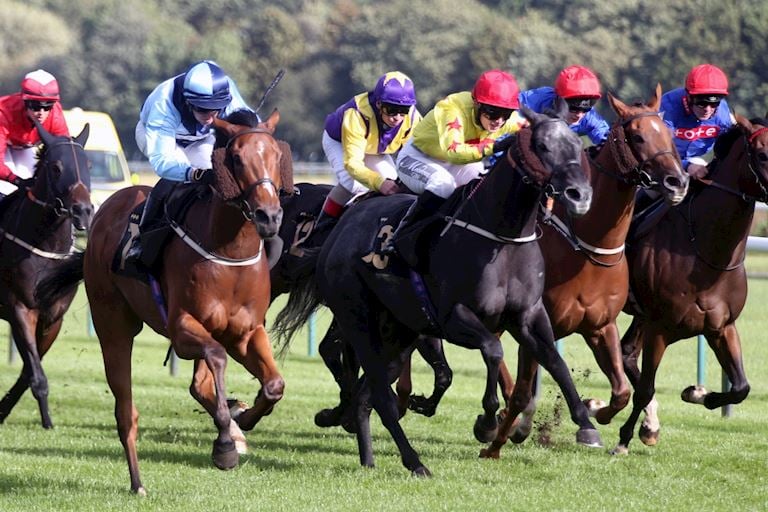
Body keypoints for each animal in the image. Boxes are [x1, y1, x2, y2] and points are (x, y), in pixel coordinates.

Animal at [0, 119, 93, 428]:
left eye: (88, 164)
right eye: (56, 167)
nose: (83, 210)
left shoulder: (53, 318)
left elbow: (29, 371)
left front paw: (3, 410)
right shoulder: (19, 309)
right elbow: (36, 375)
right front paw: (47, 421)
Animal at [37, 110, 286, 494]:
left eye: (275, 155)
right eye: (237, 158)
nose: (268, 216)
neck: (229, 253)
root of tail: (106, 209)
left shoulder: (246, 332)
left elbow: (273, 385)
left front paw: (243, 418)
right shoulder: (182, 328)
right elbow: (216, 358)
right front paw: (225, 444)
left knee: (200, 385)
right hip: (113, 324)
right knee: (126, 410)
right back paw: (137, 481)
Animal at [272, 104, 604, 476]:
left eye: (576, 146)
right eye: (543, 146)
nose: (580, 196)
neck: (502, 238)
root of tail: (336, 233)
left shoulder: (528, 315)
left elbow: (555, 362)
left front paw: (586, 424)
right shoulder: (452, 318)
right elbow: (493, 351)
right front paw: (487, 421)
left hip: (397, 333)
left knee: (365, 396)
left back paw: (368, 457)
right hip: (358, 321)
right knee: (380, 396)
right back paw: (414, 462)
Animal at [480, 85, 688, 460]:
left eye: (669, 134)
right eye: (637, 136)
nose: (677, 182)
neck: (587, 248)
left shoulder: (600, 326)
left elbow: (621, 391)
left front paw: (596, 411)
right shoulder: (535, 325)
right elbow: (523, 393)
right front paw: (503, 439)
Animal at [612, 114, 768, 454]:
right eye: (763, 155)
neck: (707, 255)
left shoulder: (722, 327)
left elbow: (741, 387)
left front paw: (698, 393)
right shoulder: (660, 328)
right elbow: (645, 388)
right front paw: (624, 439)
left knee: (627, 351)